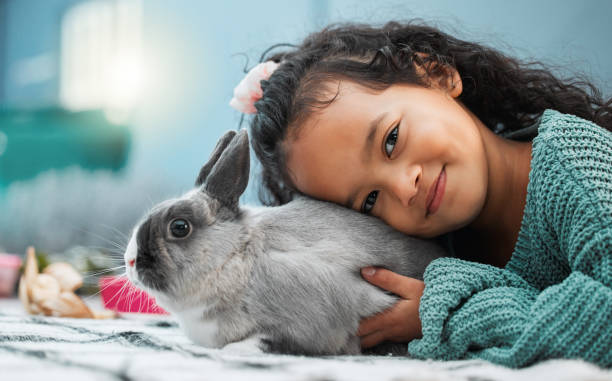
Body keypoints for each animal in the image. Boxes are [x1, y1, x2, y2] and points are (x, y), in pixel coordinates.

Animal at [122, 129, 444, 354]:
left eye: (180, 227)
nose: (130, 261)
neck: (236, 256)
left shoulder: (307, 324)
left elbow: (259, 342)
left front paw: (232, 351)